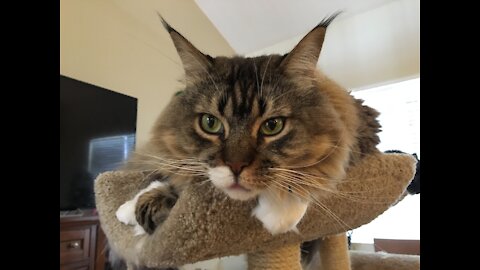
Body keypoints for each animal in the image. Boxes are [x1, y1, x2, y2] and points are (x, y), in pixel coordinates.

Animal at [115, 13, 378, 270]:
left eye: (272, 126)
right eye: (210, 123)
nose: (236, 167)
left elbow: (310, 176)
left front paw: (281, 211)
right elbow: (171, 177)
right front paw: (134, 209)